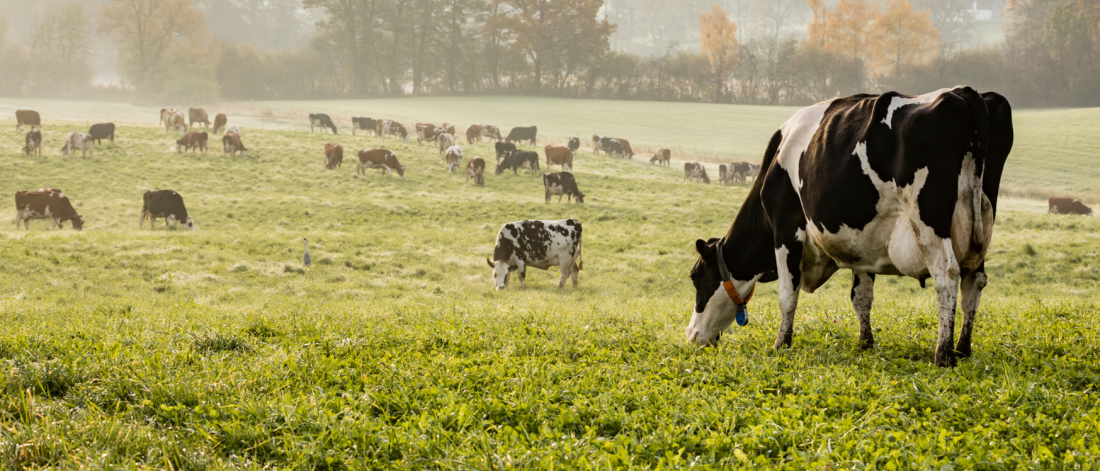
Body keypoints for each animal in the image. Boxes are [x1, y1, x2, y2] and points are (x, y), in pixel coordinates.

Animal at [686, 87, 1012, 367]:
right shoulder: (863, 244)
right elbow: (861, 296)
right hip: (980, 225)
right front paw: (864, 343)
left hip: (929, 221)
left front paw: (781, 344)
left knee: (947, 274)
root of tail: (964, 92)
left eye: (695, 277)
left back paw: (943, 354)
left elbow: (787, 295)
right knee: (974, 280)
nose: (691, 336)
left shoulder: (786, 229)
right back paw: (963, 348)